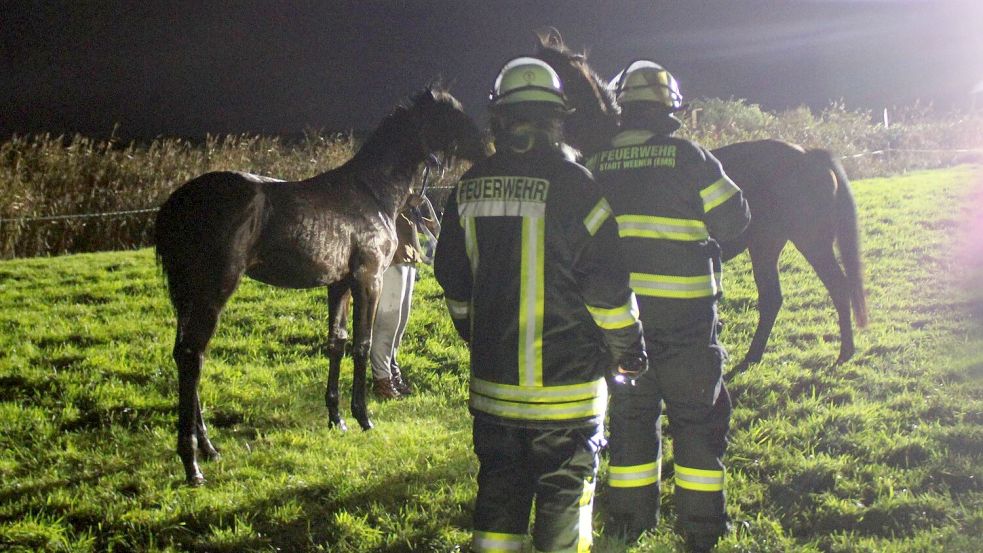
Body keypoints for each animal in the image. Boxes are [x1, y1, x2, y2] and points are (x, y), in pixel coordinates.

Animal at [155, 87, 488, 484]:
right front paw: (364, 418)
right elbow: (362, 344)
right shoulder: (368, 279)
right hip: (213, 290)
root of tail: (177, 203)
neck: (372, 193)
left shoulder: (338, 284)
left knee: (185, 355)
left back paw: (208, 448)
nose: (488, 145)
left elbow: (336, 343)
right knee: (193, 356)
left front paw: (337, 419)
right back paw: (192, 465)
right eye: (451, 115)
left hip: (187, 295)